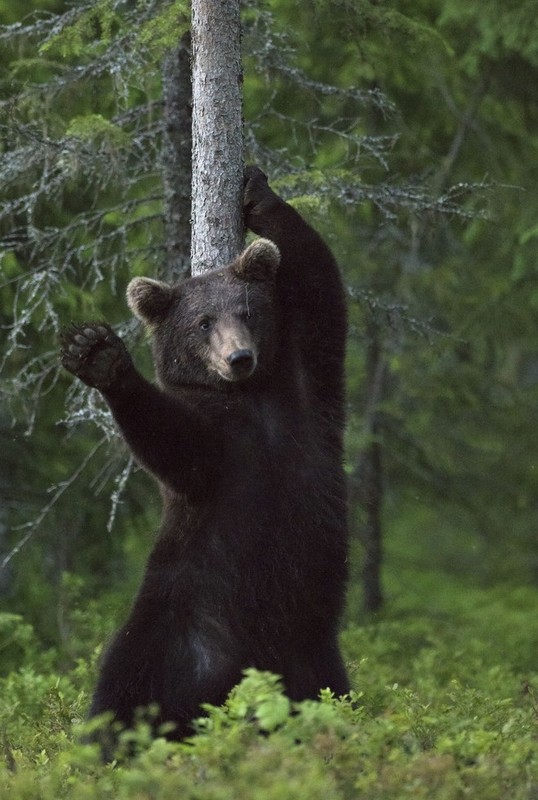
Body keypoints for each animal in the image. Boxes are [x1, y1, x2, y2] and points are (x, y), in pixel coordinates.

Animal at [60, 166, 350, 748]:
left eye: (247, 312)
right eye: (202, 322)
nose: (239, 358)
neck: (253, 397)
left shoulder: (309, 382)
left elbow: (319, 280)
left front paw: (258, 192)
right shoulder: (218, 448)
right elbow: (172, 442)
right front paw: (98, 354)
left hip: (311, 648)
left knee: (333, 692)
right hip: (178, 620)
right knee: (123, 690)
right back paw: (103, 746)